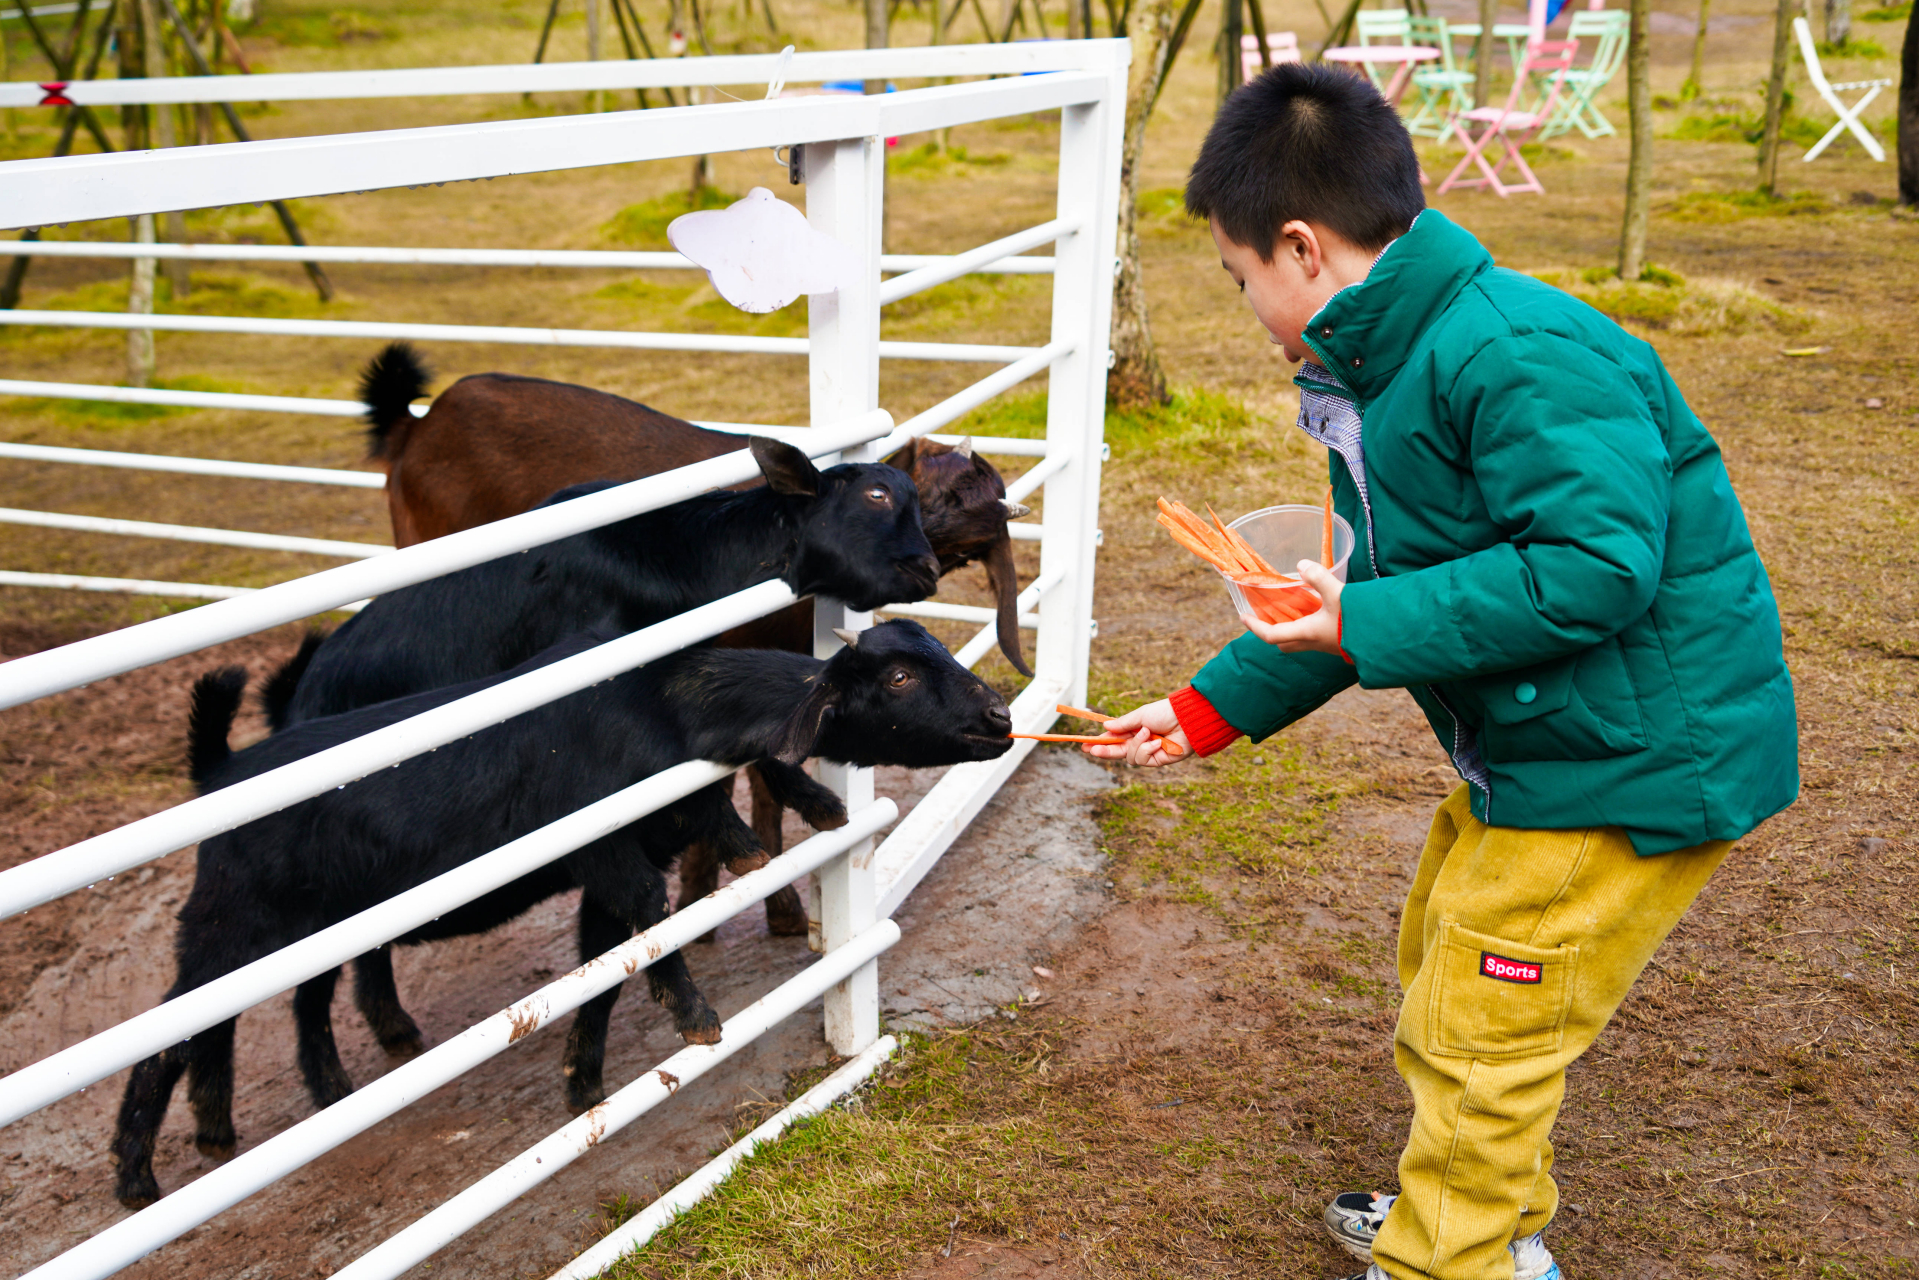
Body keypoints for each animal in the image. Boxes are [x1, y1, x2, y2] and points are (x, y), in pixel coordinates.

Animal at [106, 621, 1013, 1212]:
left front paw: (582, 1082)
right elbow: (650, 924)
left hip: (305, 926)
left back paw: (269, 1111)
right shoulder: (609, 854)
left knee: (280, 1007)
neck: (659, 705)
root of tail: (221, 769)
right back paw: (138, 1175)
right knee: (173, 1031)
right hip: (231, 918)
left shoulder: (613, 864)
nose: (1000, 716)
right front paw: (694, 1016)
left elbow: (602, 969)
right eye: (897, 679)